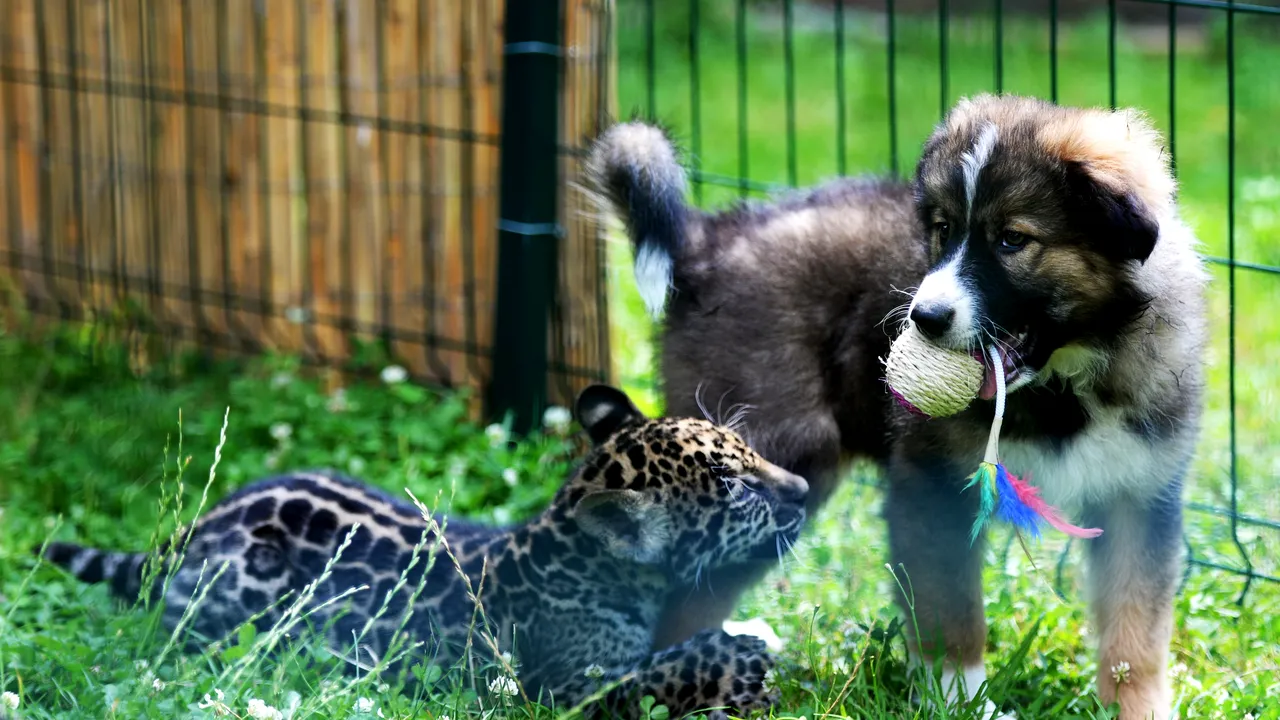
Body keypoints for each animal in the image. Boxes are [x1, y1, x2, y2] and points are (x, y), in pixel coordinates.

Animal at [41, 384, 809, 719]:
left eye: (751, 453)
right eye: (733, 485)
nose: (802, 491)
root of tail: (190, 533)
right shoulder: (566, 689)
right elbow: (661, 670)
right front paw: (744, 656)